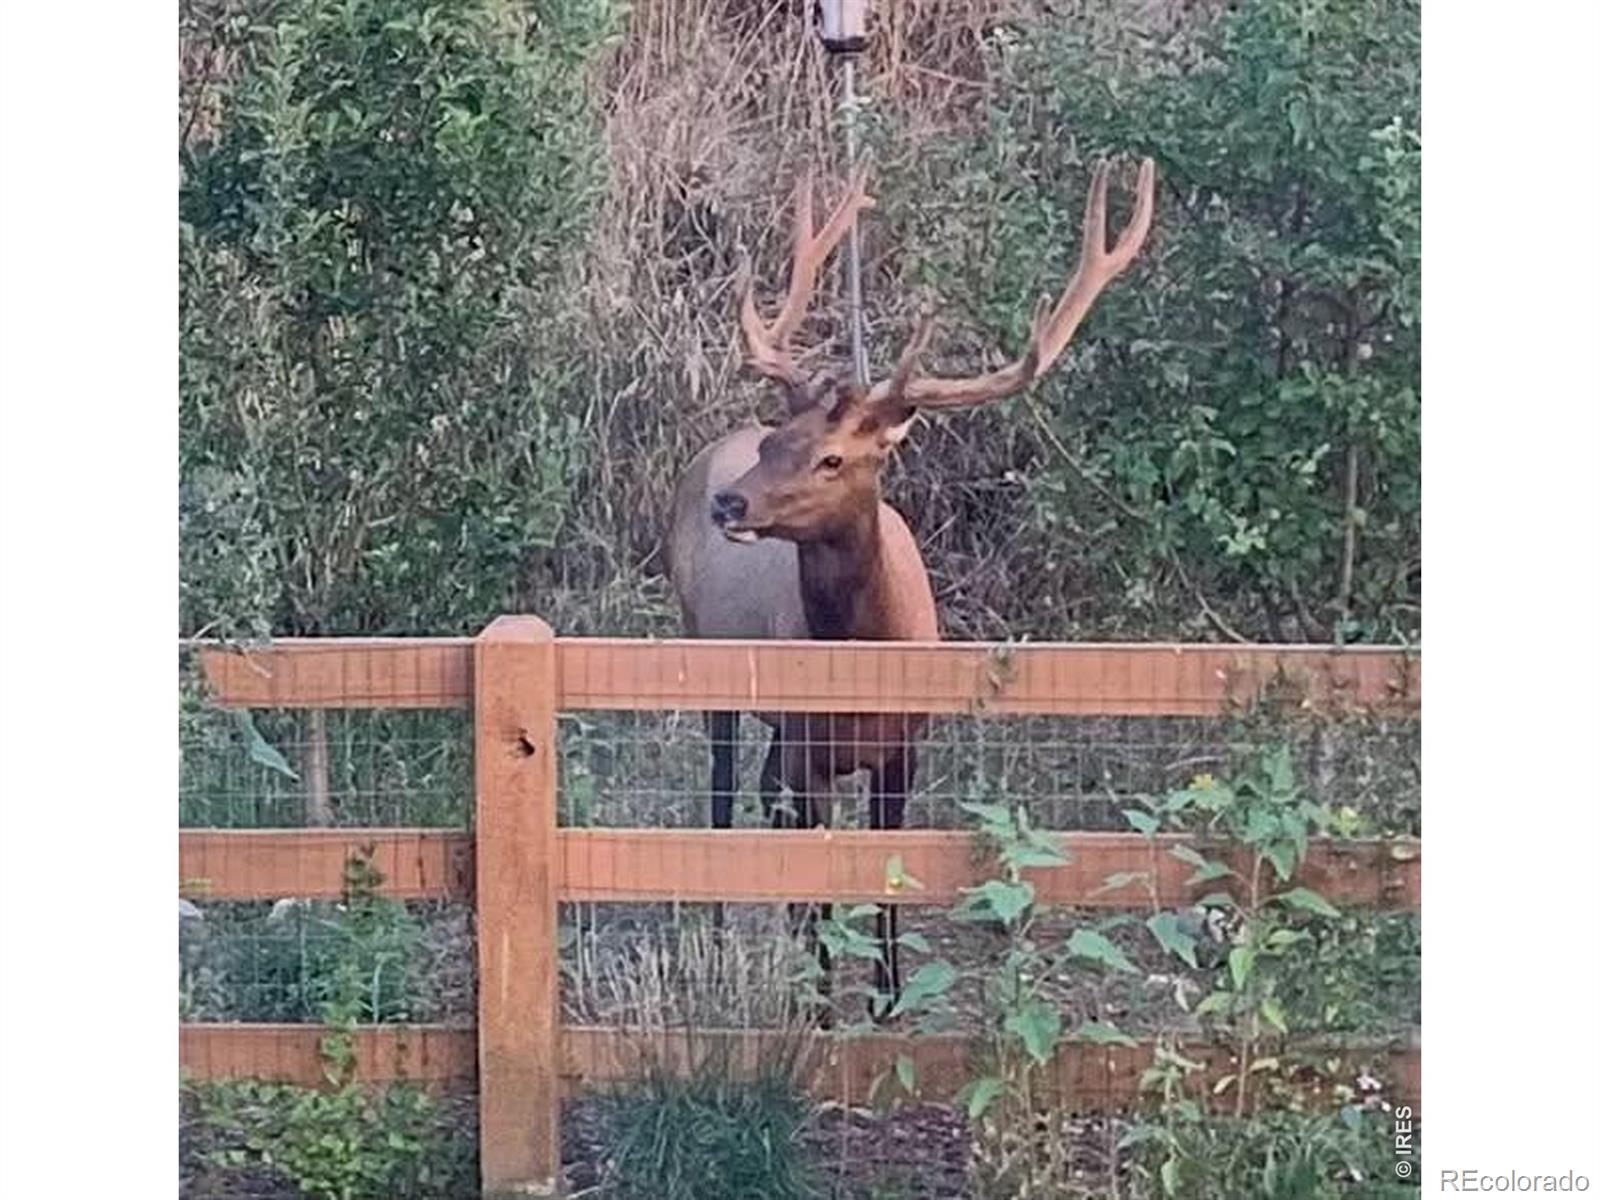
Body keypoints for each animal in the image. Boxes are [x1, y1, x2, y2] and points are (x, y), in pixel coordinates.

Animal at [666, 155, 1156, 1014]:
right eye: (775, 440)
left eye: (833, 457)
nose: (732, 503)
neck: (867, 662)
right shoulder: (812, 747)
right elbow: (823, 871)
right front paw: (822, 1005)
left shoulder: (905, 747)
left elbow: (885, 870)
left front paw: (886, 995)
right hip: (713, 665)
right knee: (725, 797)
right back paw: (724, 939)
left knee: (760, 793)